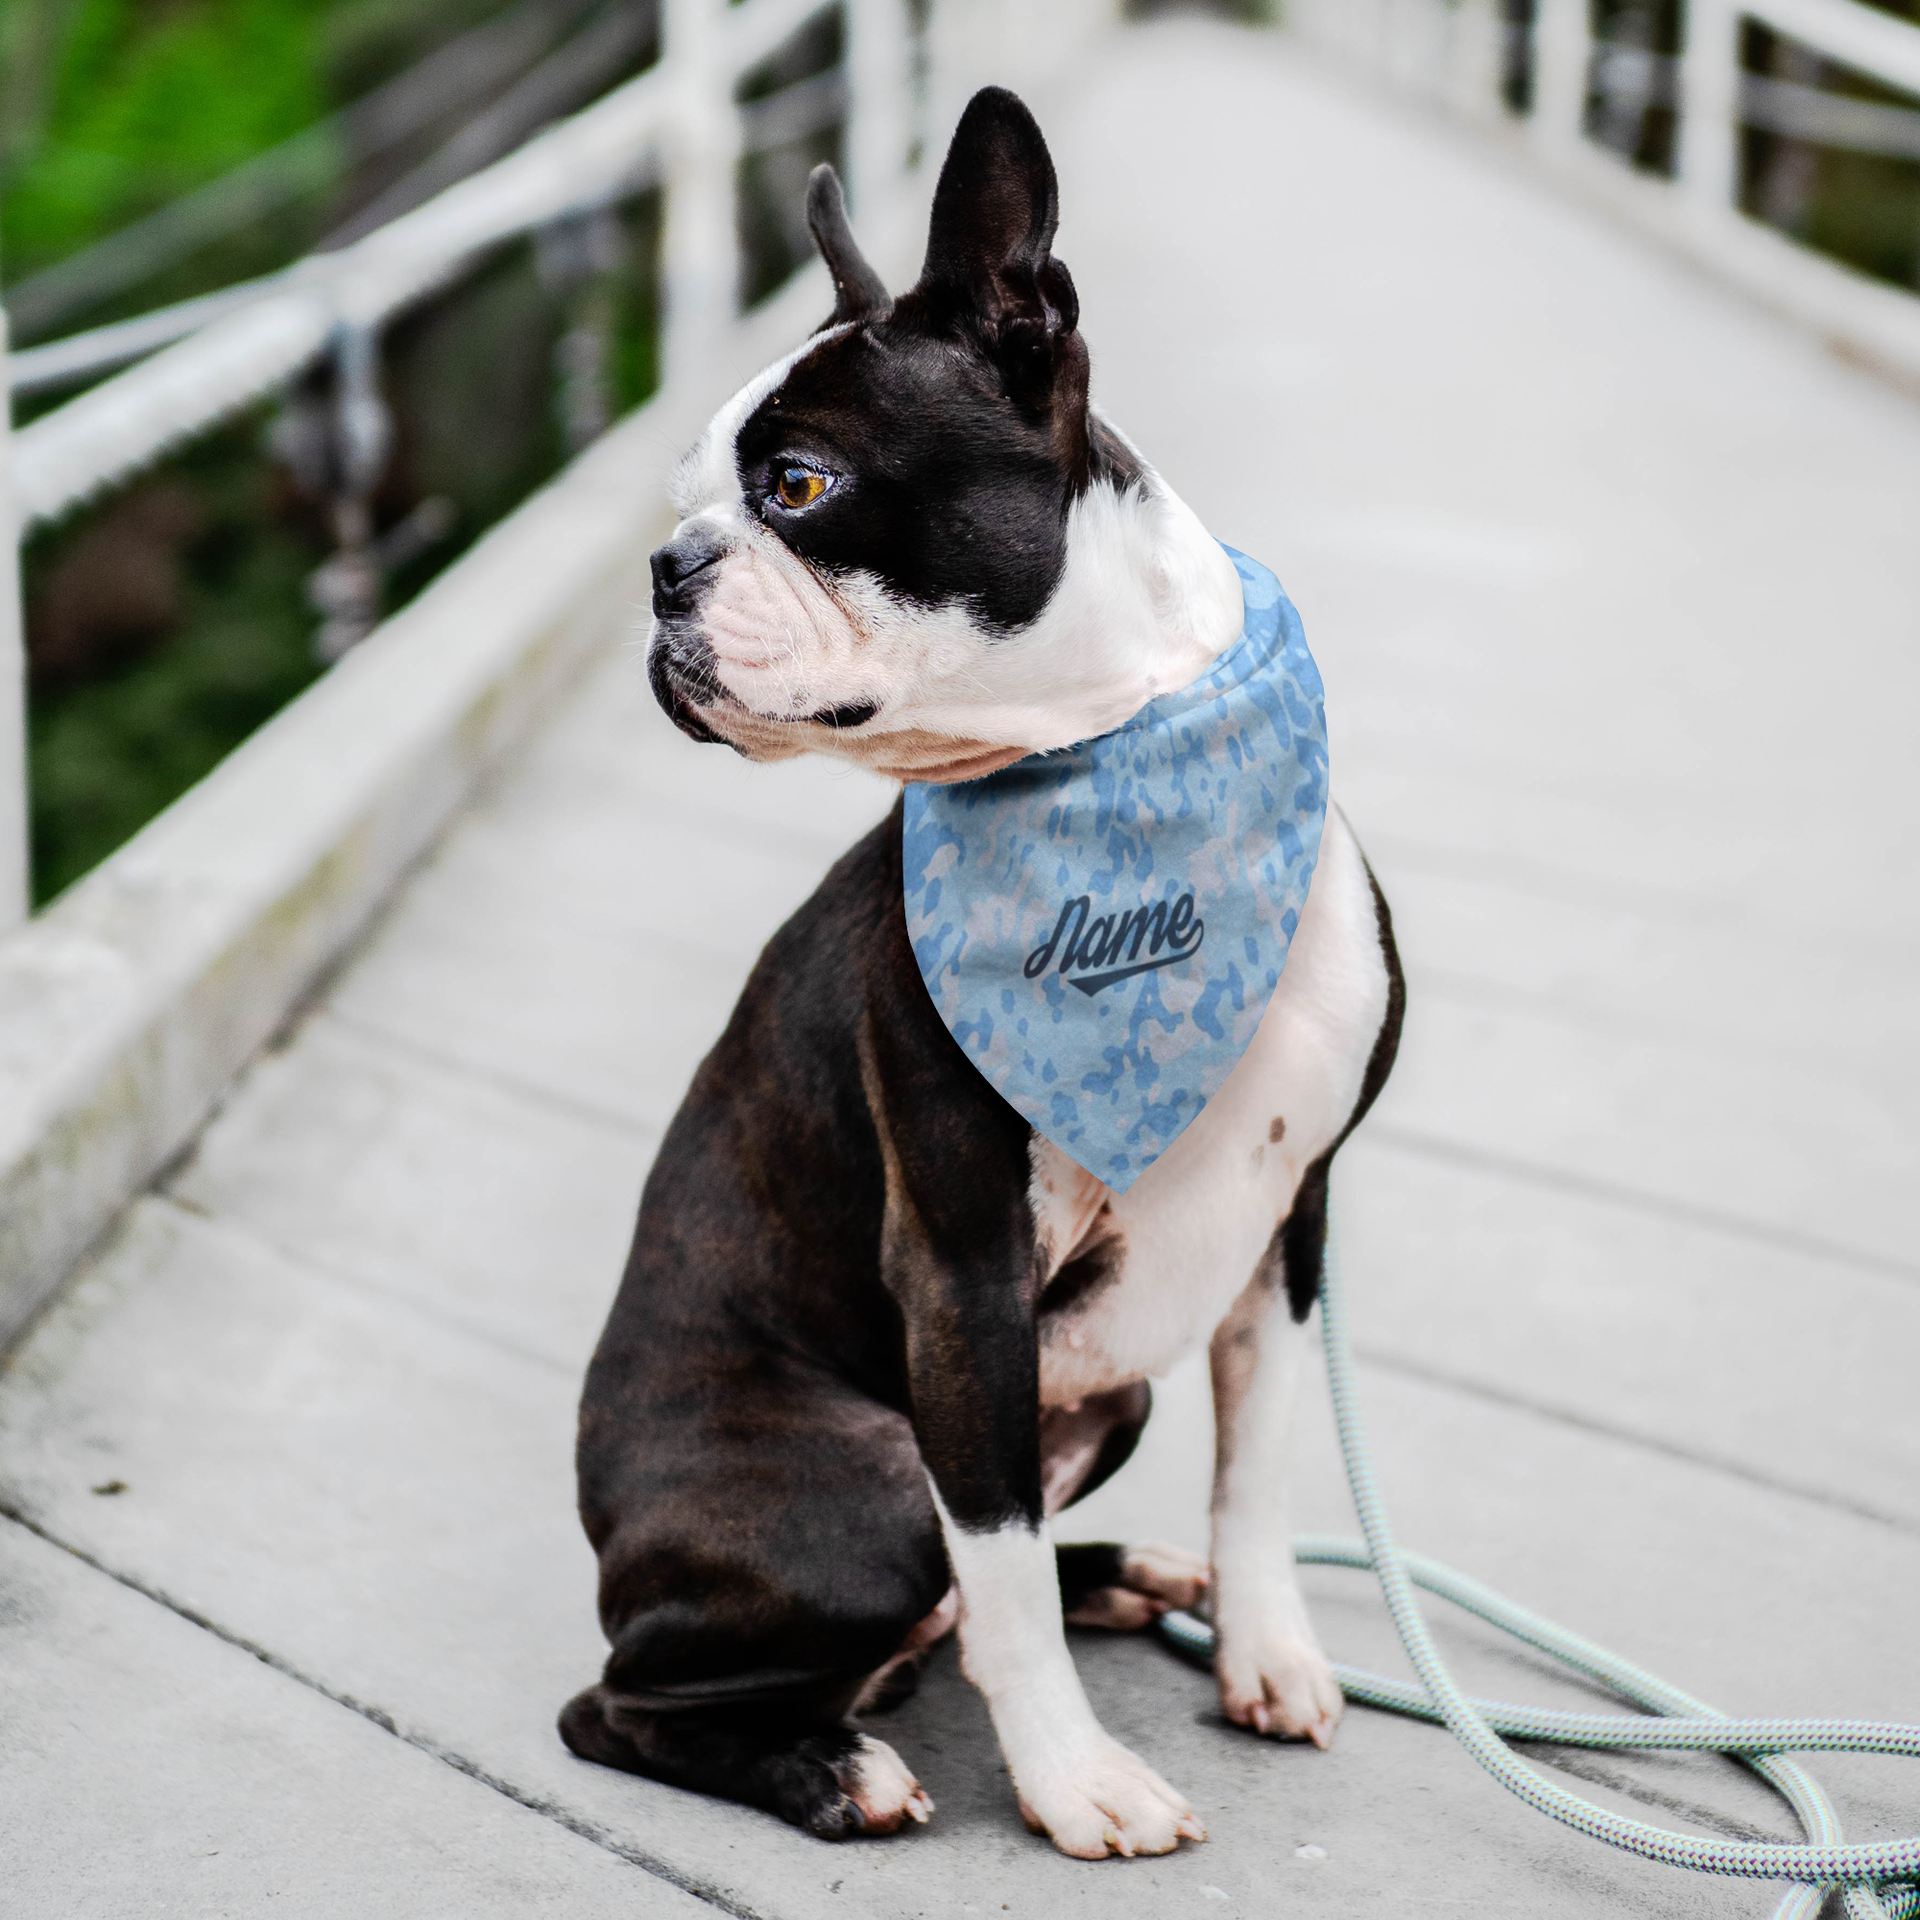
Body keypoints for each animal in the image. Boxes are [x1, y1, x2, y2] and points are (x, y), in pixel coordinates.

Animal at [560, 90, 1405, 1858]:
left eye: (798, 483)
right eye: (694, 496)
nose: (665, 568)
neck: (1123, 763)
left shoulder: (1290, 1229)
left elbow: (1259, 1470)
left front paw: (1267, 1646)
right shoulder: (962, 1271)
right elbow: (998, 1563)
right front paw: (1076, 1780)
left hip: (1107, 1398)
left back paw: (1130, 1577)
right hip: (870, 1486)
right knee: (636, 1699)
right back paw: (832, 1766)